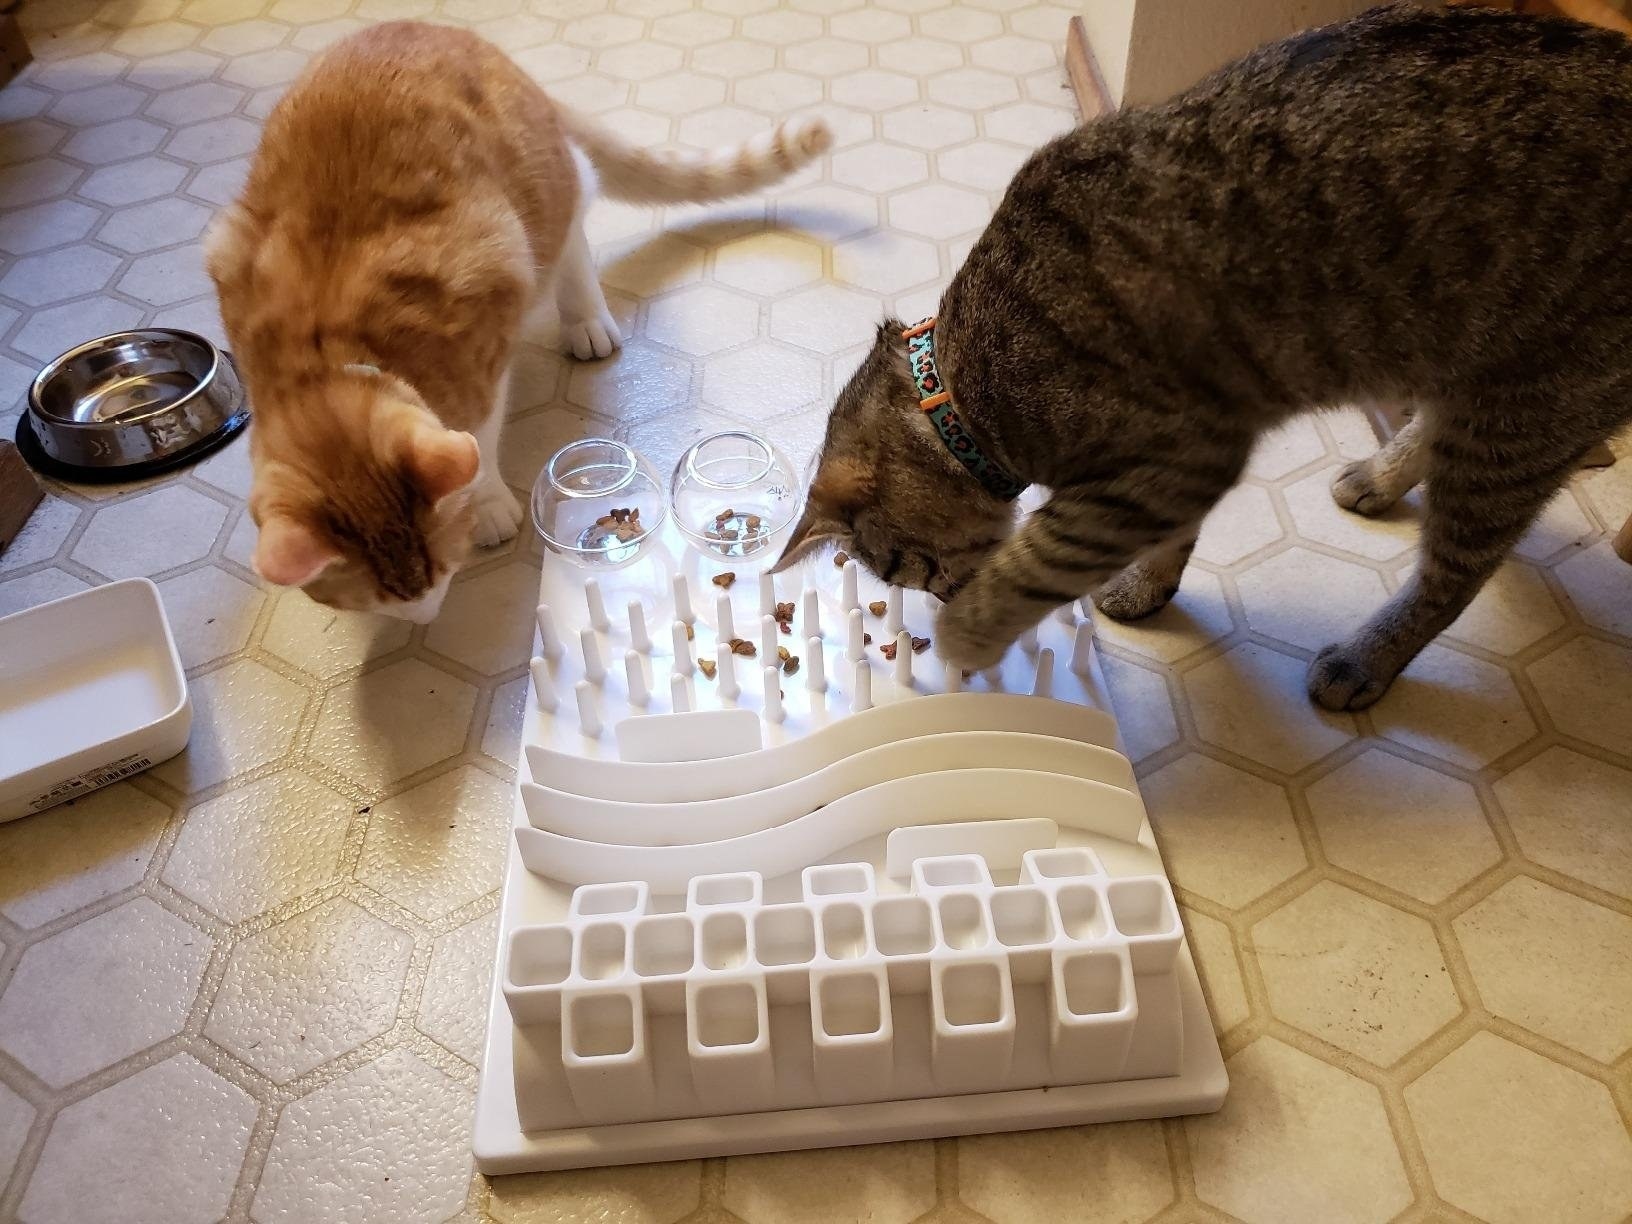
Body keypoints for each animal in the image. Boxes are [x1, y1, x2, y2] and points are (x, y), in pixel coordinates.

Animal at [210, 22, 835, 623]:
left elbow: (478, 442)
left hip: (542, 187)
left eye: (441, 569)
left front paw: (486, 504)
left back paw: (585, 319)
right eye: (373, 599)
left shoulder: (486, 331)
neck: (324, 354)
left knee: (574, 224)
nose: (423, 618)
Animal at [773, 2, 1632, 708]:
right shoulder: (1172, 473)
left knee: (1454, 580)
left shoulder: (1177, 455)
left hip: (1522, 422)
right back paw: (1381, 477)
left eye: (903, 571)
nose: (942, 603)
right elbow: (1163, 539)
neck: (961, 388)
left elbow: (1042, 556)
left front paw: (966, 641)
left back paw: (1365, 660)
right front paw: (1147, 587)